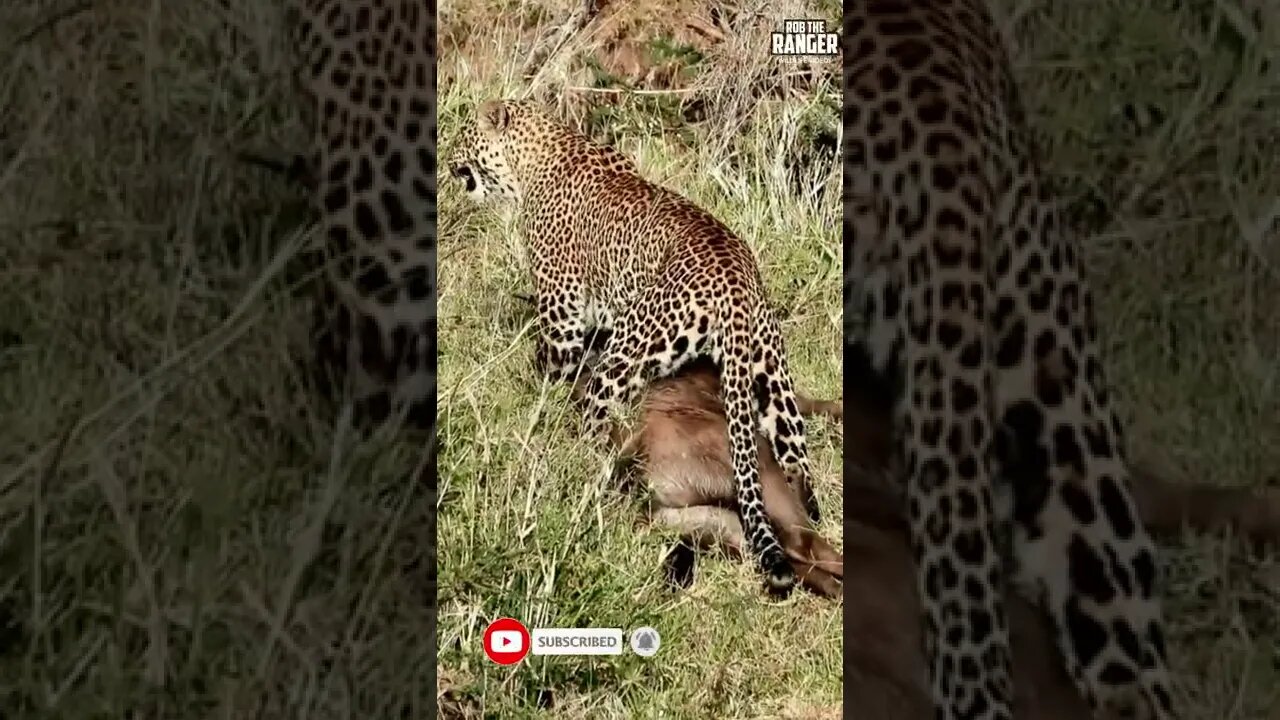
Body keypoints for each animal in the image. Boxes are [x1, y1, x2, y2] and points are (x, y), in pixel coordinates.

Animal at [447, 99, 820, 597]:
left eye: (463, 136)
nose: (448, 161)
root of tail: (733, 278)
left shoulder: (563, 311)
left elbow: (551, 373)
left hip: (629, 351)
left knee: (595, 422)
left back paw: (576, 473)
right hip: (771, 372)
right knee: (795, 461)